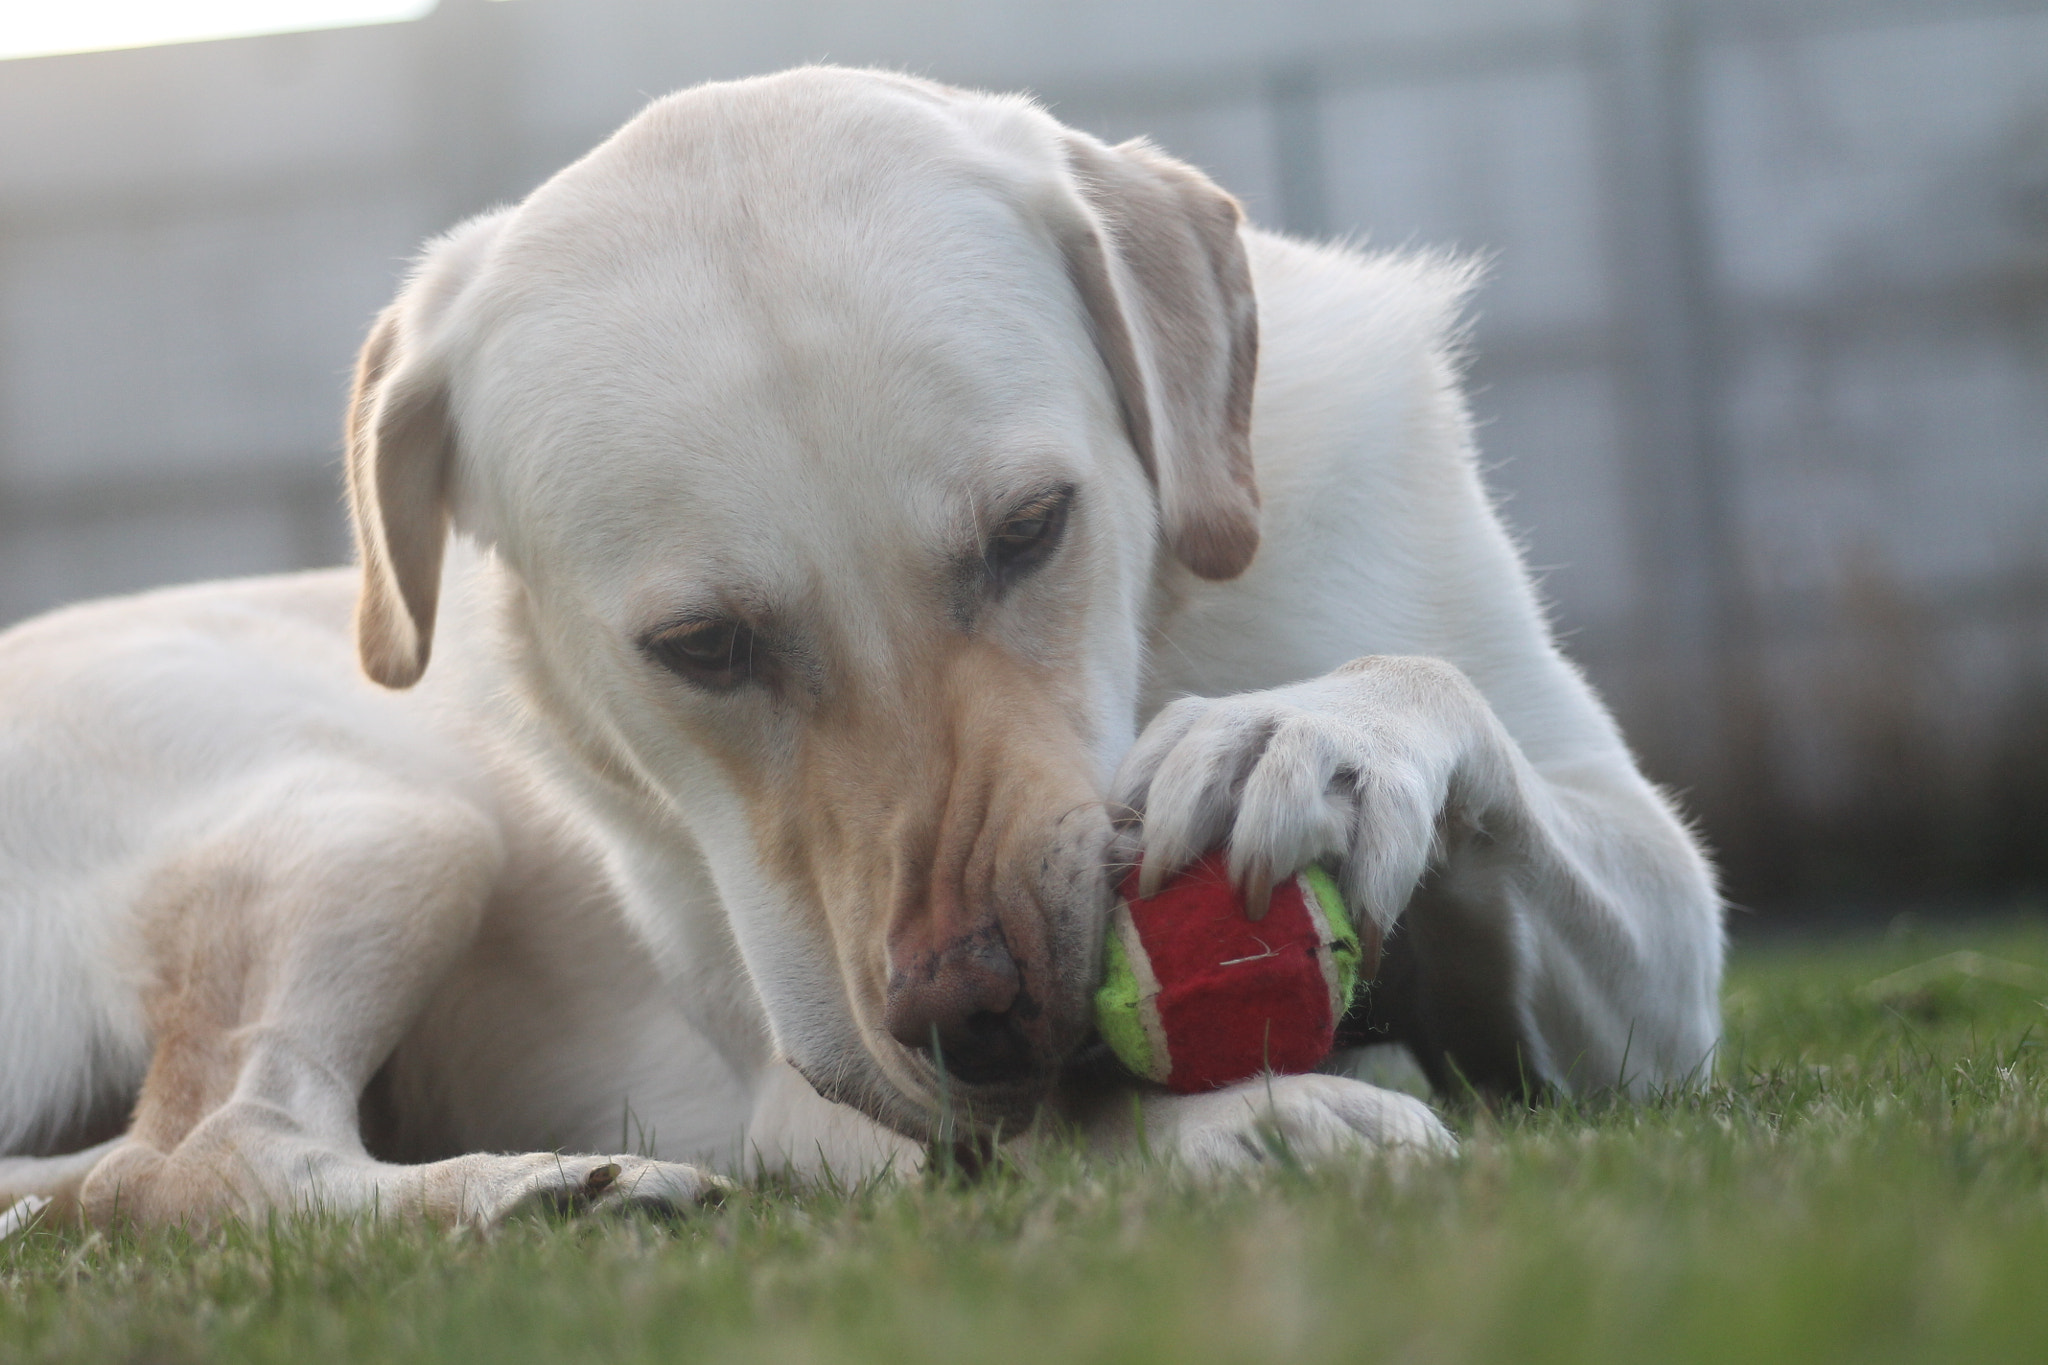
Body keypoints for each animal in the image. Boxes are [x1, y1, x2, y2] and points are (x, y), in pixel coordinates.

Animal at [0, 69, 1720, 1236]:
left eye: (1029, 529)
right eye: (700, 645)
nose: (980, 1011)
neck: (1166, 637)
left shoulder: (1659, 962)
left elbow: (1448, 705)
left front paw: (1313, 737)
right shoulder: (803, 1084)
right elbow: (1038, 1131)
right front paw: (1258, 1124)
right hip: (394, 816)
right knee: (190, 1158)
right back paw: (538, 1187)